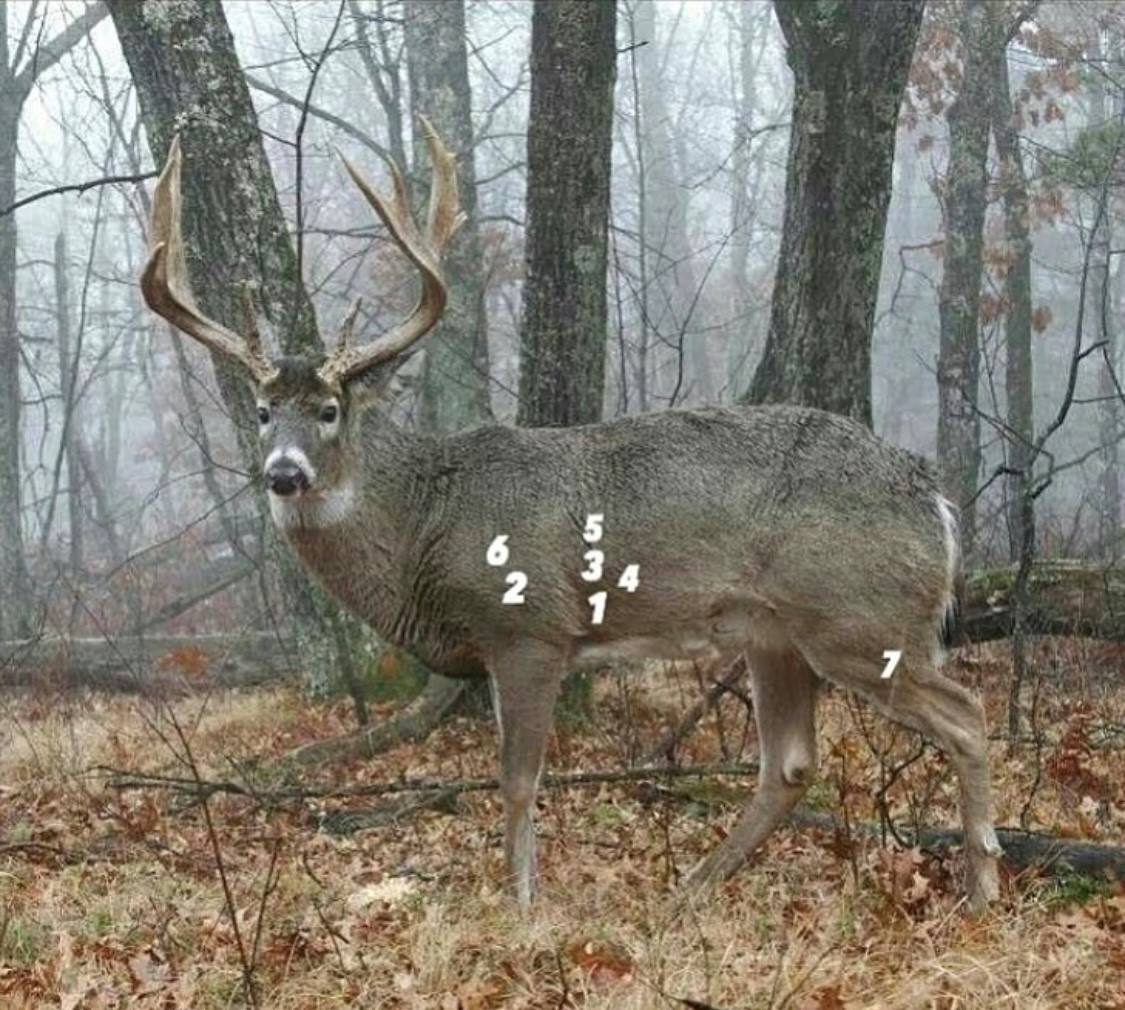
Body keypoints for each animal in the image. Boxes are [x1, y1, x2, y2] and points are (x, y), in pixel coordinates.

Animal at [140, 122, 1002, 912]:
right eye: (260, 411)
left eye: (328, 410)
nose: (284, 474)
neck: (424, 525)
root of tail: (934, 498)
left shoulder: (529, 628)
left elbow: (518, 779)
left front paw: (521, 908)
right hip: (774, 634)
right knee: (789, 764)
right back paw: (686, 891)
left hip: (858, 617)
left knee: (966, 715)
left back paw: (982, 890)